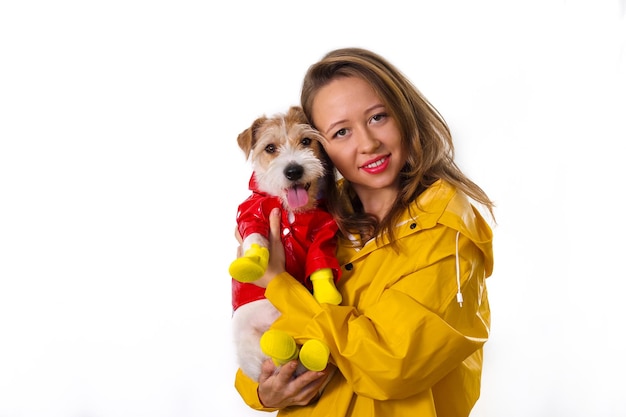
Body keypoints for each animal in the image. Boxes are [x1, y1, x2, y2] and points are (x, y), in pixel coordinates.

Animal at [230, 106, 342, 380]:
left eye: (306, 141)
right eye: (270, 148)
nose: (293, 171)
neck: (290, 209)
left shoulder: (323, 230)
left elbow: (320, 260)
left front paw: (327, 292)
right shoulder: (251, 214)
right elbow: (255, 236)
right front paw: (250, 262)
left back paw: (313, 351)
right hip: (250, 344)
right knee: (281, 358)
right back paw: (281, 344)